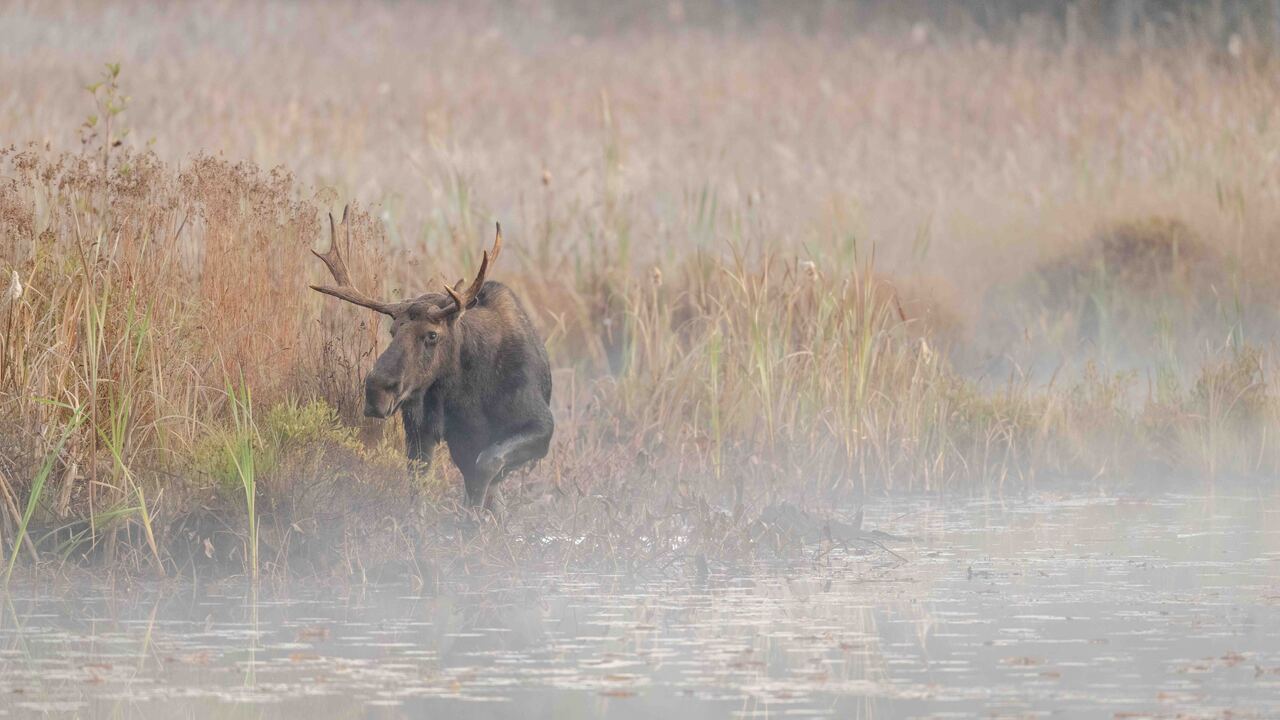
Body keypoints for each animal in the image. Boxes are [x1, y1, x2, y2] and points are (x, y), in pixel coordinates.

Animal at [310, 207, 553, 511]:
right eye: (392, 330)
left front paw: (472, 519)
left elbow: (486, 465)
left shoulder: (542, 427)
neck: (468, 393)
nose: (376, 391)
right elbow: (420, 486)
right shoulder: (420, 431)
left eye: (432, 335)